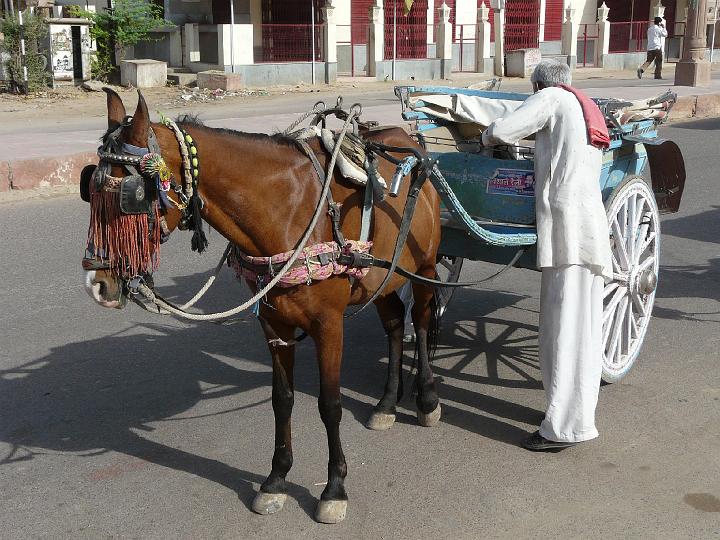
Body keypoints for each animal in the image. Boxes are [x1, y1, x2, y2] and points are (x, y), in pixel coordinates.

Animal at [84, 89, 444, 524]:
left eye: (130, 196)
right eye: (90, 191)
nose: (98, 285)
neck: (285, 211)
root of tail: (410, 142)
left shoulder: (329, 326)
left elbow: (330, 404)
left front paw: (334, 489)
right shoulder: (275, 326)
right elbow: (282, 400)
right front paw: (276, 479)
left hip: (424, 266)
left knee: (420, 323)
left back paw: (426, 399)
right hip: (384, 274)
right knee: (393, 327)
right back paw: (388, 403)